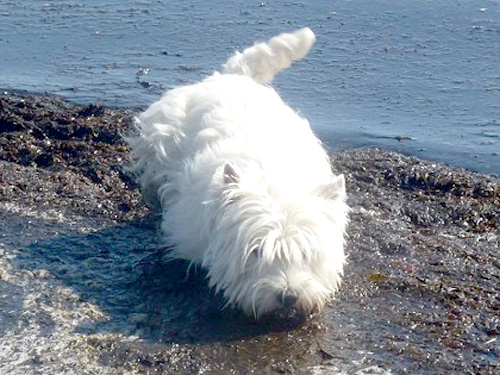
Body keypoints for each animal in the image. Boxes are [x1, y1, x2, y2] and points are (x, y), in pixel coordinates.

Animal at [127, 27, 350, 318]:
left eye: (305, 252)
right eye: (257, 251)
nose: (288, 296)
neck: (276, 181)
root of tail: (234, 76)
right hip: (161, 135)